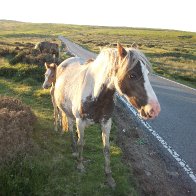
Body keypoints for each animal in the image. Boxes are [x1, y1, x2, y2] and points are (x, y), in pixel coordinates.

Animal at [52, 44, 160, 188]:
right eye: (132, 75)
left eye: (147, 74)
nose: (155, 109)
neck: (95, 93)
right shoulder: (80, 121)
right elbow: (81, 143)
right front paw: (80, 166)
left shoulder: (107, 123)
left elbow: (106, 148)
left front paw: (109, 177)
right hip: (67, 113)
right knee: (70, 129)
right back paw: (74, 150)